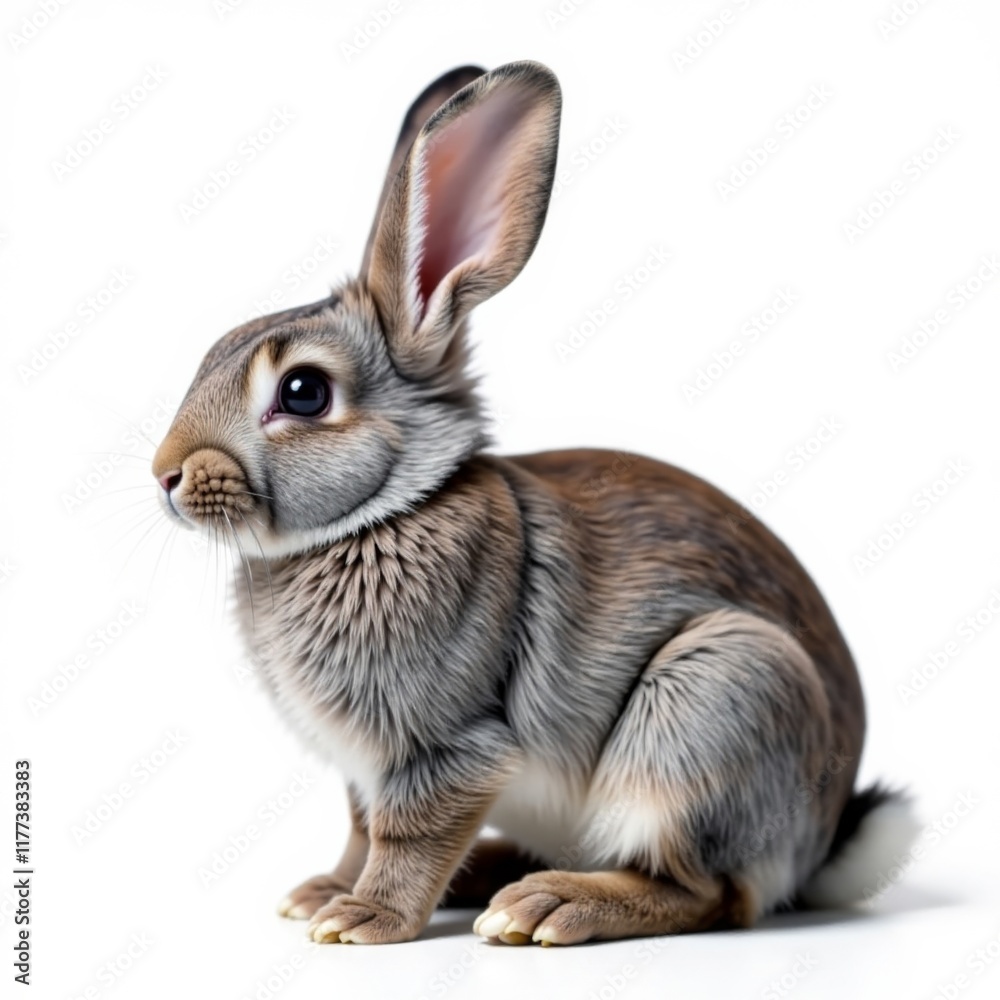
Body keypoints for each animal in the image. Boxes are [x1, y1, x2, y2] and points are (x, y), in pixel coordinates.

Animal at [152, 60, 917, 946]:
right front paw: (319, 896)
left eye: (304, 392)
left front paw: (362, 919)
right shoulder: (363, 769)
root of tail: (820, 844)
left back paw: (545, 906)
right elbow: (361, 828)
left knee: (707, 892)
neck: (387, 510)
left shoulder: (447, 745)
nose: (164, 475)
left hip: (709, 705)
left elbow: (408, 833)